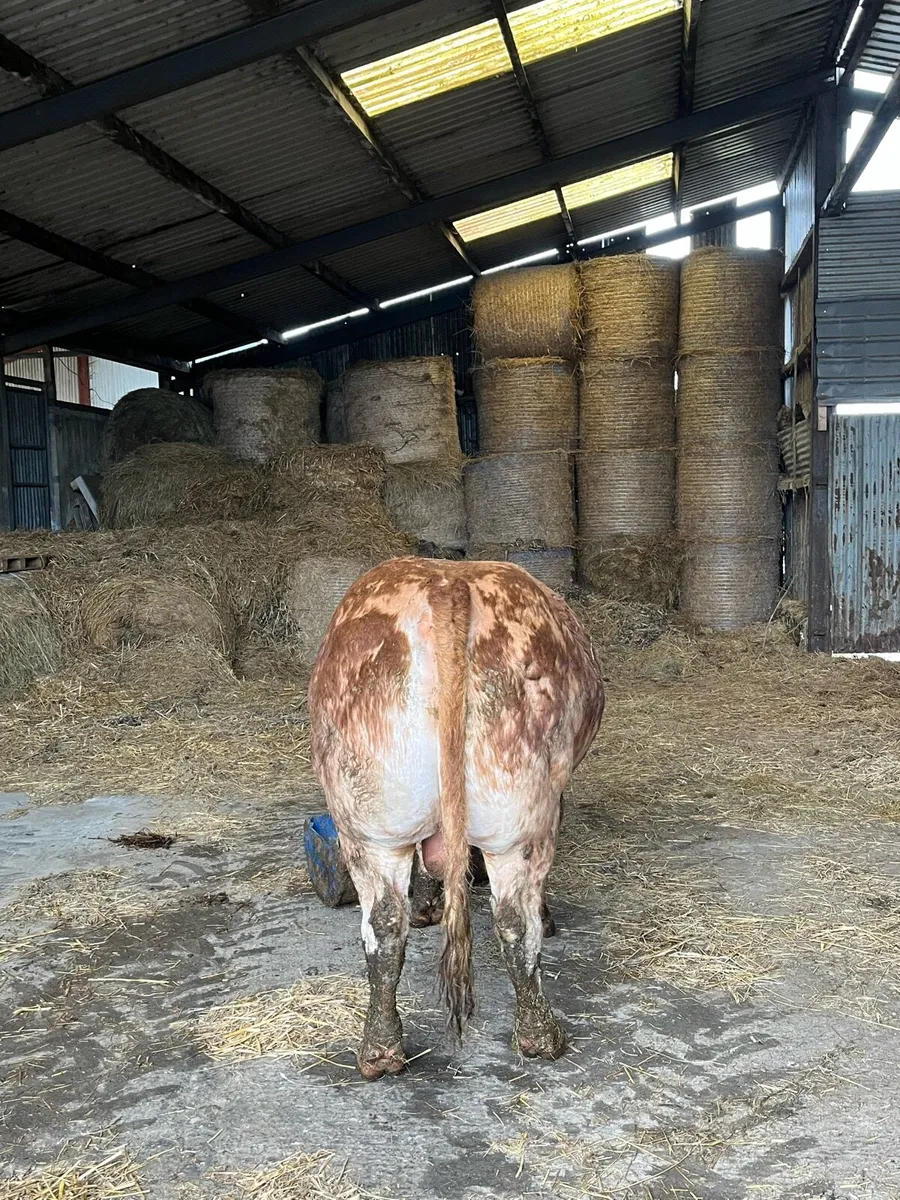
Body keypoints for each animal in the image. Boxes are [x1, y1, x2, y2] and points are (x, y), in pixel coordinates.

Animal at [308, 557, 604, 1080]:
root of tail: (448, 583)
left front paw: (428, 904)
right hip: (519, 820)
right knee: (515, 923)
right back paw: (542, 1035)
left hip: (369, 825)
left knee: (384, 926)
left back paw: (380, 1051)